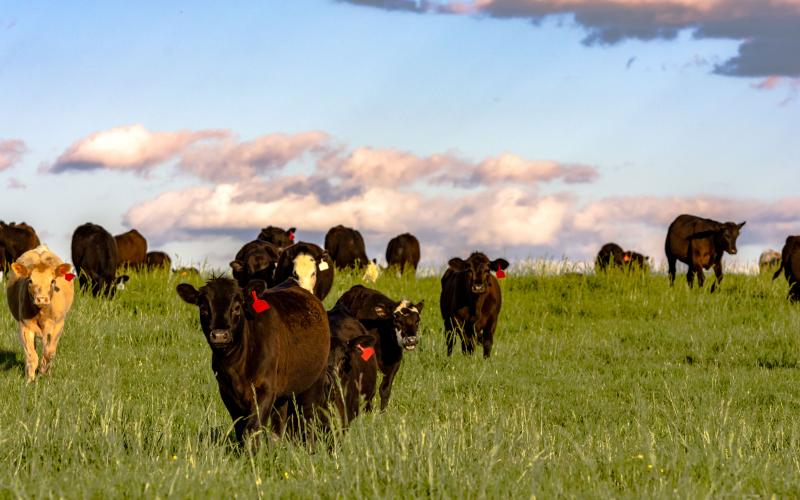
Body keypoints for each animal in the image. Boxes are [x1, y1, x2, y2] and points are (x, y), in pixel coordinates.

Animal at [5, 246, 74, 382]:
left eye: (52, 281)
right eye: (30, 280)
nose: (41, 299)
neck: (41, 315)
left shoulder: (58, 325)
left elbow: (49, 353)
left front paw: (43, 373)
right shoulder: (24, 326)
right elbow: (32, 356)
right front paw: (30, 380)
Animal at [176, 278, 330, 446]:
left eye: (237, 307)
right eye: (203, 308)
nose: (220, 335)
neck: (236, 366)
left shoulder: (265, 389)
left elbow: (252, 427)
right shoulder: (227, 392)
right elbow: (240, 427)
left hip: (314, 382)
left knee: (309, 419)